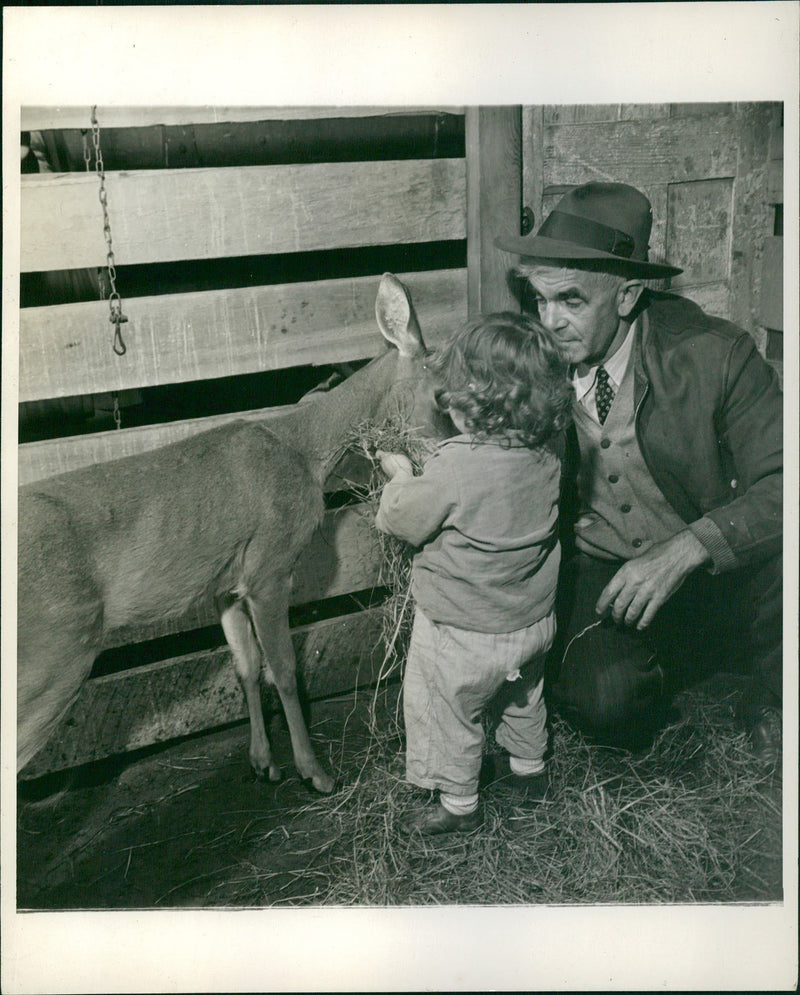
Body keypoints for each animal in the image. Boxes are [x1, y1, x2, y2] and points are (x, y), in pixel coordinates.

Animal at [17, 272, 450, 792]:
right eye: (442, 396)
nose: (449, 447)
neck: (303, 451)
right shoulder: (269, 567)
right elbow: (283, 668)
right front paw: (314, 771)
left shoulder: (225, 584)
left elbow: (245, 667)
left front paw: (263, 761)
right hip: (53, 653)